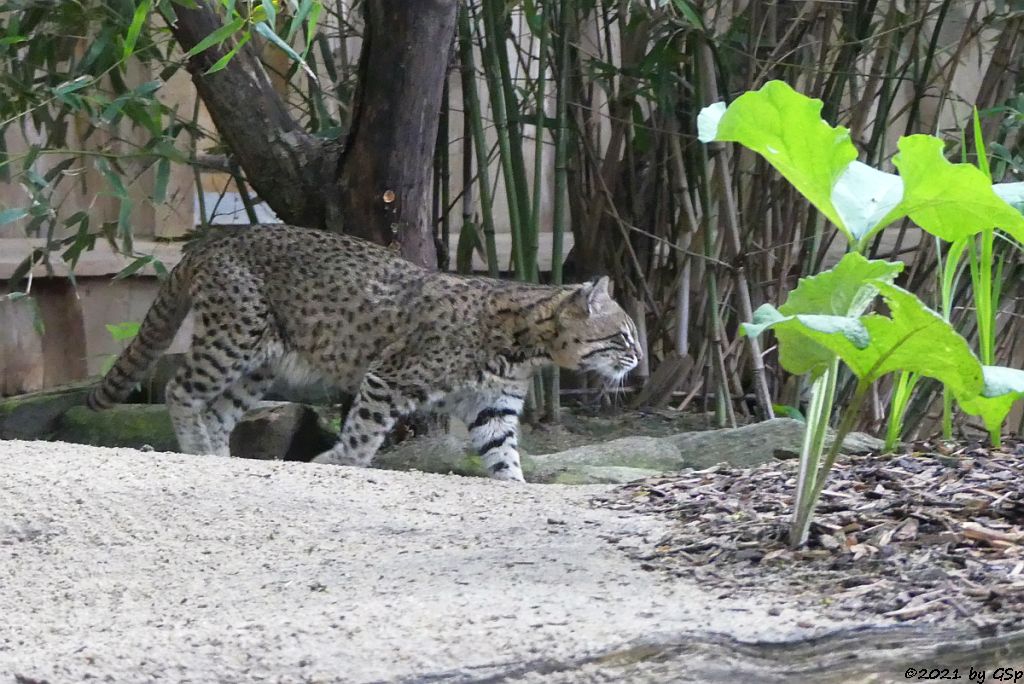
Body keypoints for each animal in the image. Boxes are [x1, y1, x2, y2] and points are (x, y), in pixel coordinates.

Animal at [94, 224, 638, 481]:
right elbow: (364, 431)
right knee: (180, 389)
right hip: (234, 338)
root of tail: (211, 242)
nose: (638, 363)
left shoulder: (493, 406)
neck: (526, 348)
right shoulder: (390, 377)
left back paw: (218, 456)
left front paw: (516, 487)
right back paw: (198, 449)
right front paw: (340, 461)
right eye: (623, 338)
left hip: (261, 362)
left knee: (218, 411)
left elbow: (504, 456)